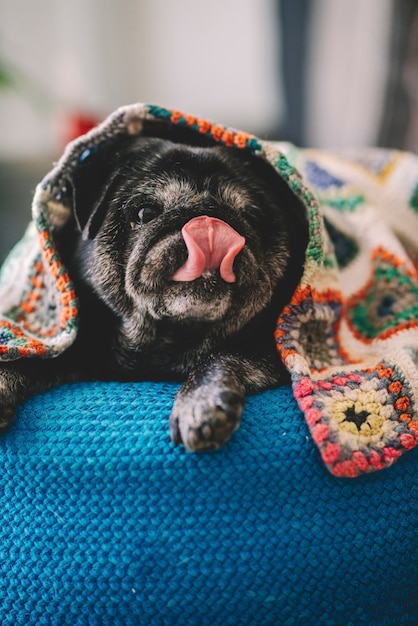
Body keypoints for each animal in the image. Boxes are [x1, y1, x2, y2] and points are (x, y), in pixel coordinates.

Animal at [0, 135, 308, 448]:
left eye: (252, 219)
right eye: (145, 213)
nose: (208, 219)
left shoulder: (276, 349)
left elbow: (222, 356)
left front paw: (203, 401)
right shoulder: (75, 347)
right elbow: (33, 360)